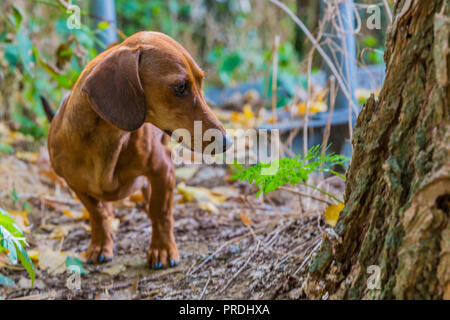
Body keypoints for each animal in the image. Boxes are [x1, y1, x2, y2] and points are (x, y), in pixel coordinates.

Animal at [44, 31, 230, 268]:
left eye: (201, 80)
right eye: (180, 87)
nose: (227, 142)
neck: (106, 139)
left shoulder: (162, 170)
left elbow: (160, 212)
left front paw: (162, 249)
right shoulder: (74, 183)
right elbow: (96, 213)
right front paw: (100, 244)